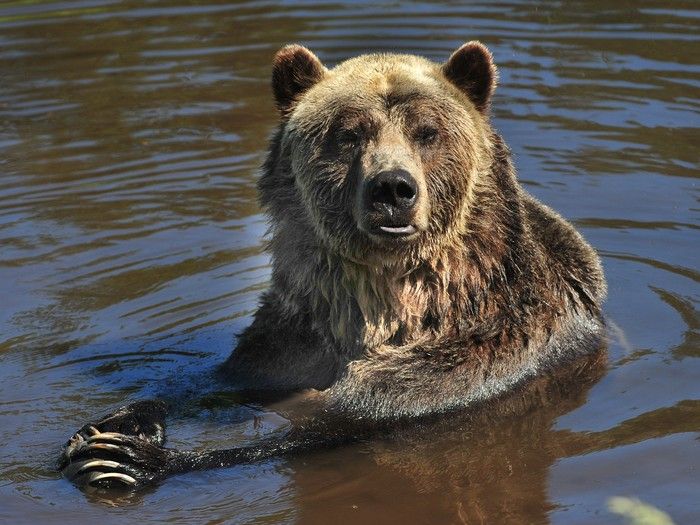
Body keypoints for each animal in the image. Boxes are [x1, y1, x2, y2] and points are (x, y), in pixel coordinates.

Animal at [59, 41, 606, 489]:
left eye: (427, 132)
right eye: (348, 134)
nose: (393, 188)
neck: (387, 305)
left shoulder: (480, 353)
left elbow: (337, 423)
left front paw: (131, 458)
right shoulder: (294, 337)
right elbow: (215, 379)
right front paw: (114, 424)